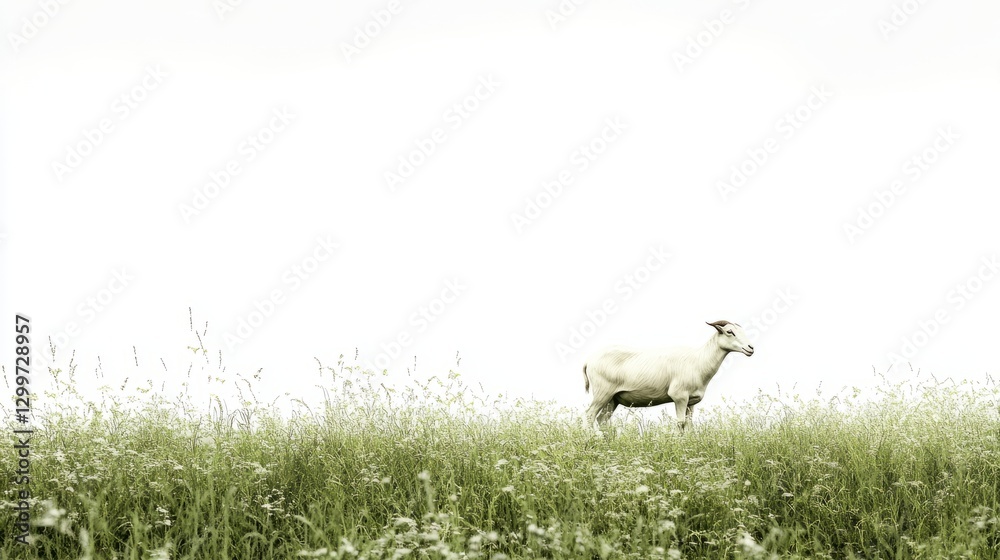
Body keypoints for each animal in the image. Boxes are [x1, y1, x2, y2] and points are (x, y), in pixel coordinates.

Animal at [582, 320, 753, 431]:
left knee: (602, 420)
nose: (750, 348)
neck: (699, 360)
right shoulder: (679, 396)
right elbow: (680, 423)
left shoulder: (691, 401)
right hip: (602, 392)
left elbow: (689, 426)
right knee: (589, 415)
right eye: (729, 332)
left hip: (613, 399)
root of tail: (588, 361)